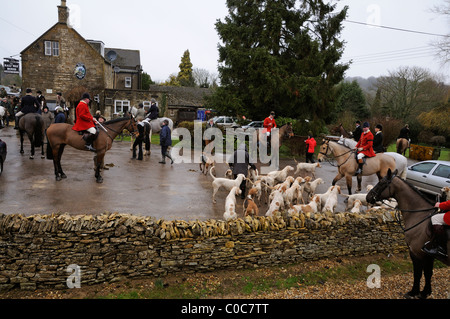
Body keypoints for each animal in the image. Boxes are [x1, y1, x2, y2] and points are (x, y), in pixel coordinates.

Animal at [368, 170, 448, 300]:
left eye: (381, 182)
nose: (368, 196)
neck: (420, 215)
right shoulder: (428, 254)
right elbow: (428, 273)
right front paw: (426, 292)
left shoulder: (416, 252)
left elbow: (418, 273)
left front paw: (414, 292)